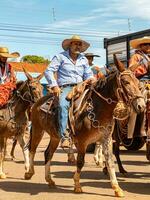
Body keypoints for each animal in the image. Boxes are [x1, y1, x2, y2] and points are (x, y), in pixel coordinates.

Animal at [24, 55, 145, 198]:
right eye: (126, 82)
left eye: (138, 83)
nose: (141, 105)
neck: (98, 108)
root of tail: (38, 102)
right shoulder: (82, 142)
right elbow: (80, 161)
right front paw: (77, 185)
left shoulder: (106, 139)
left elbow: (110, 161)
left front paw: (117, 188)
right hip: (38, 129)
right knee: (32, 149)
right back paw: (29, 172)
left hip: (55, 136)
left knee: (48, 153)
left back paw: (49, 180)